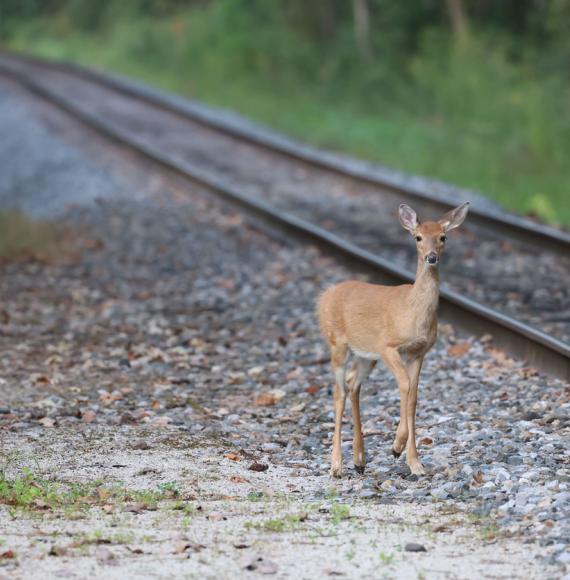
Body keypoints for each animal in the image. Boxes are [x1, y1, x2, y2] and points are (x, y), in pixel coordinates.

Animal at [316, 202, 466, 478]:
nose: (431, 257)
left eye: (443, 237)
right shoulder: (388, 346)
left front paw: (415, 463)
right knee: (338, 391)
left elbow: (414, 395)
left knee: (352, 384)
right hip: (337, 343)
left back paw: (360, 460)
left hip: (366, 355)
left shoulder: (419, 352)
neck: (413, 312)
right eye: (418, 237)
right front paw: (397, 446)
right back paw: (337, 466)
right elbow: (405, 385)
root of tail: (324, 296)